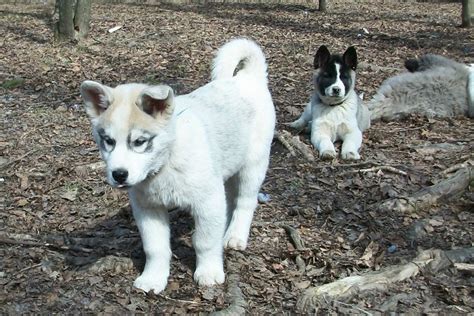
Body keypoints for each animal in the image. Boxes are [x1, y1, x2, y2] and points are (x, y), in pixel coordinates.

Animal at [80, 39, 276, 294]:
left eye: (139, 142)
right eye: (108, 141)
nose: (119, 175)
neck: (166, 163)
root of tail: (248, 78)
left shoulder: (207, 201)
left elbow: (205, 241)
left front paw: (209, 271)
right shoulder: (148, 208)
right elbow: (155, 247)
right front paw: (153, 278)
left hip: (253, 166)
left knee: (245, 202)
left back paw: (235, 236)